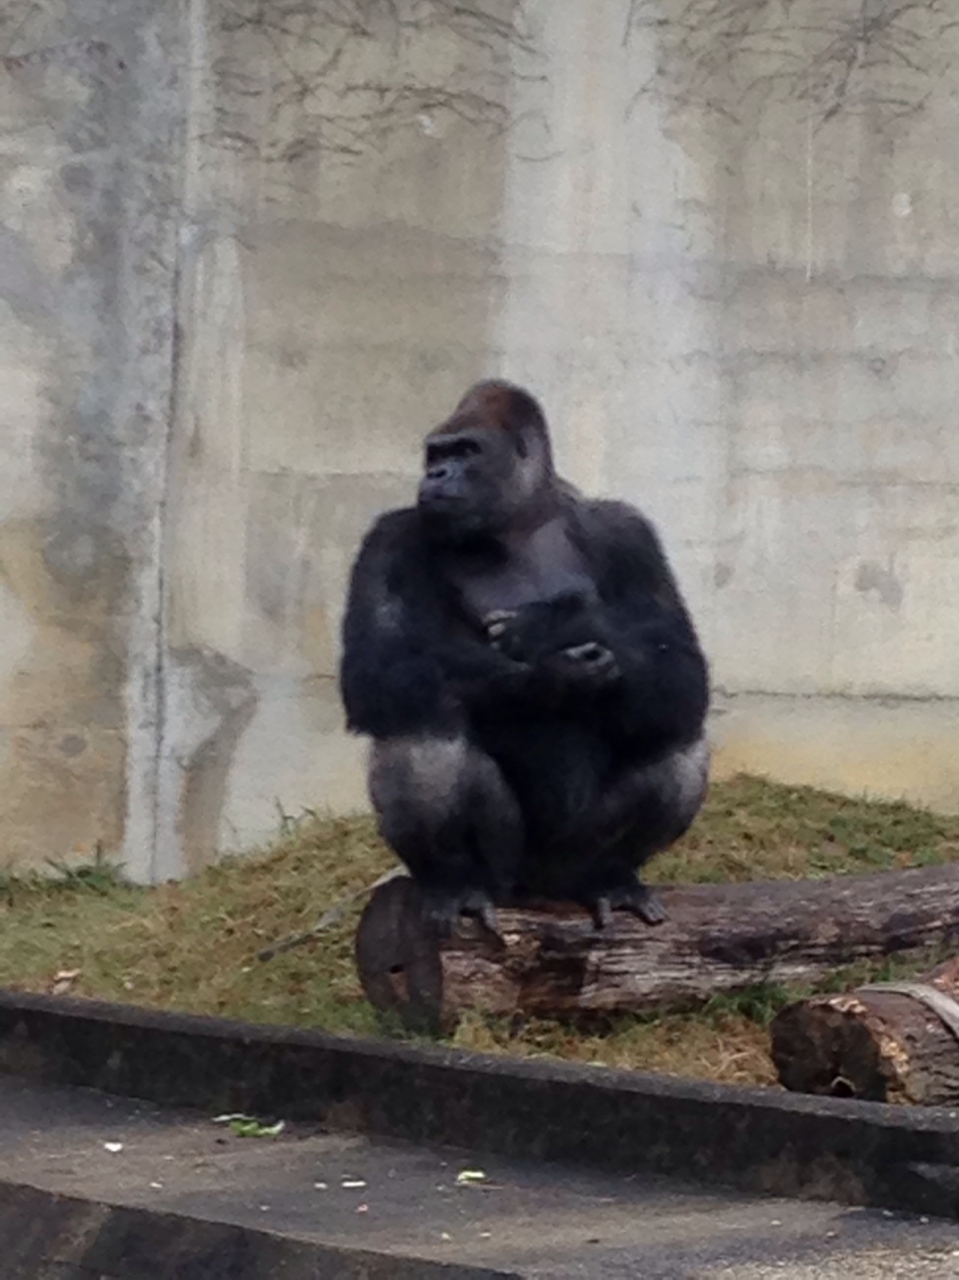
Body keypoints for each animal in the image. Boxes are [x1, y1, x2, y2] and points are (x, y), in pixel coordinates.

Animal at [340, 378, 706, 931]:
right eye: (436, 455)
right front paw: (549, 675)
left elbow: (682, 668)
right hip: (508, 870)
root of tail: (537, 888)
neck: (518, 523)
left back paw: (611, 876)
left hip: (568, 861)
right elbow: (377, 669)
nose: (436, 475)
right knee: (419, 728)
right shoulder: (389, 538)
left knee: (677, 738)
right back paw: (456, 882)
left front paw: (560, 623)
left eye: (466, 451)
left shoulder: (628, 532)